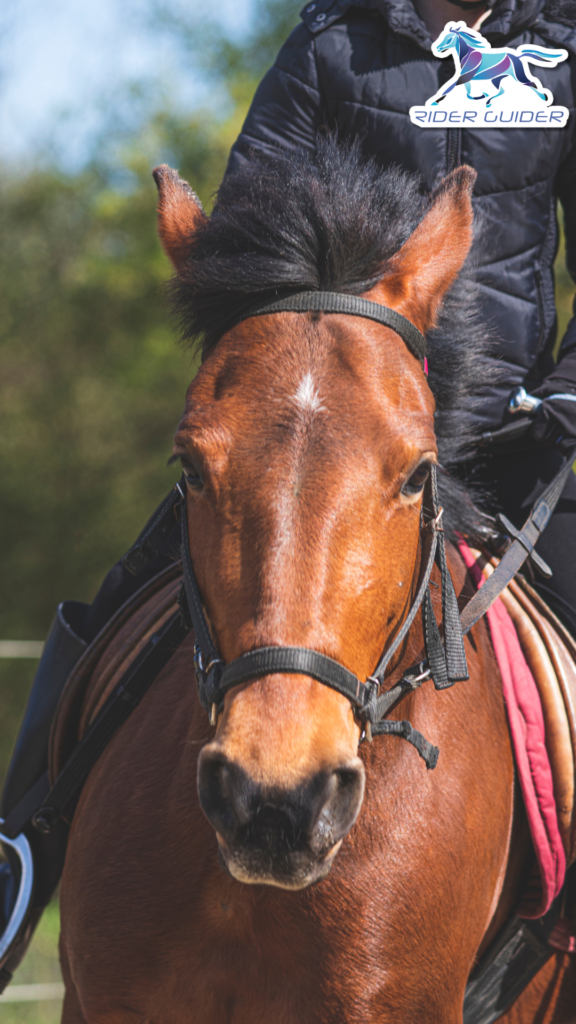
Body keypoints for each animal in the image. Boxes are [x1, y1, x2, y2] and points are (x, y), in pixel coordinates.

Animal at [432, 24, 567, 107]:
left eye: (448, 39)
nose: (437, 48)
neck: (468, 54)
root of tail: (518, 57)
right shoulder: (466, 77)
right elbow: (467, 90)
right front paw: (479, 96)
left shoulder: (463, 77)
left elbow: (450, 88)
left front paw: (436, 102)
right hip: (497, 79)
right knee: (501, 90)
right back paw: (488, 101)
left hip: (517, 77)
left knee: (532, 84)